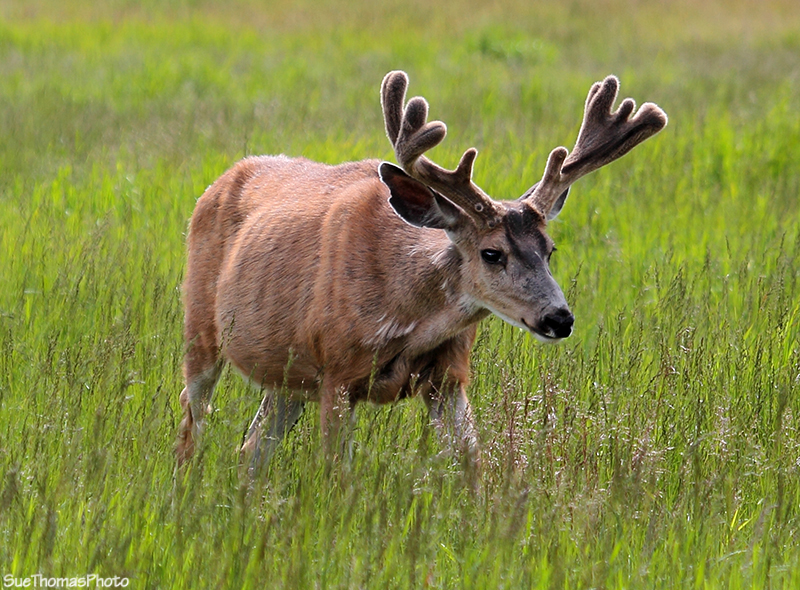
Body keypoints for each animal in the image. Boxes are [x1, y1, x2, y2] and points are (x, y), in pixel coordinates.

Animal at [175, 70, 667, 475]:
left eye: (550, 249)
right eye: (492, 253)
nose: (559, 318)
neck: (408, 316)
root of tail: (217, 183)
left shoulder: (449, 374)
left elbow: (472, 462)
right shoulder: (337, 371)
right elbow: (337, 473)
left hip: (288, 376)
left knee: (252, 447)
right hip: (201, 327)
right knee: (192, 417)